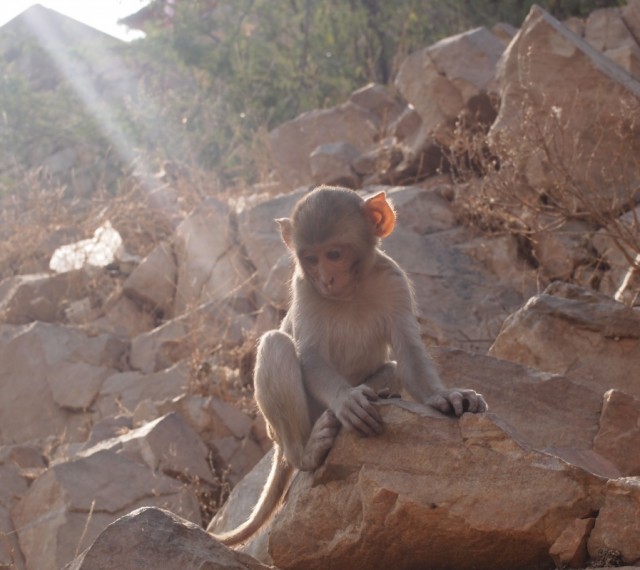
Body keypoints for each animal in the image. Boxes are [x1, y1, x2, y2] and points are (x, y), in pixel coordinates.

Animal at [210, 185, 487, 546]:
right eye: (310, 259)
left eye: (334, 254)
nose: (326, 279)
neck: (352, 291)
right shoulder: (304, 287)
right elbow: (311, 357)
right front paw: (347, 401)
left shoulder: (392, 279)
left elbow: (409, 353)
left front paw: (443, 396)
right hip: (292, 424)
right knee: (275, 345)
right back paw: (306, 453)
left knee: (392, 368)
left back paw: (382, 394)